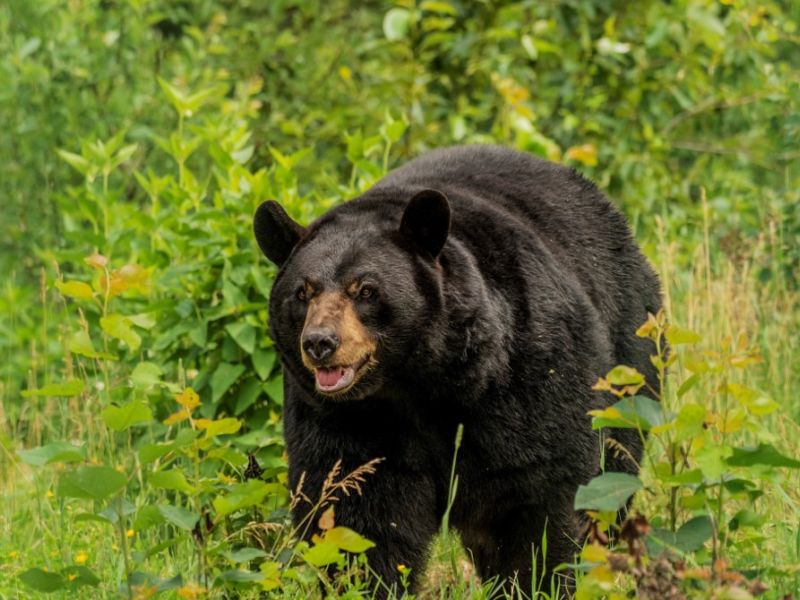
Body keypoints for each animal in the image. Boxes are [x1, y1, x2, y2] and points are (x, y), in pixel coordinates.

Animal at [253, 145, 661, 595]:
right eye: (302, 292)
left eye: (366, 289)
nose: (320, 343)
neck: (418, 383)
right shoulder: (345, 418)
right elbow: (356, 508)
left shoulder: (527, 374)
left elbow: (539, 489)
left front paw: (534, 581)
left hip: (629, 351)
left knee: (617, 467)